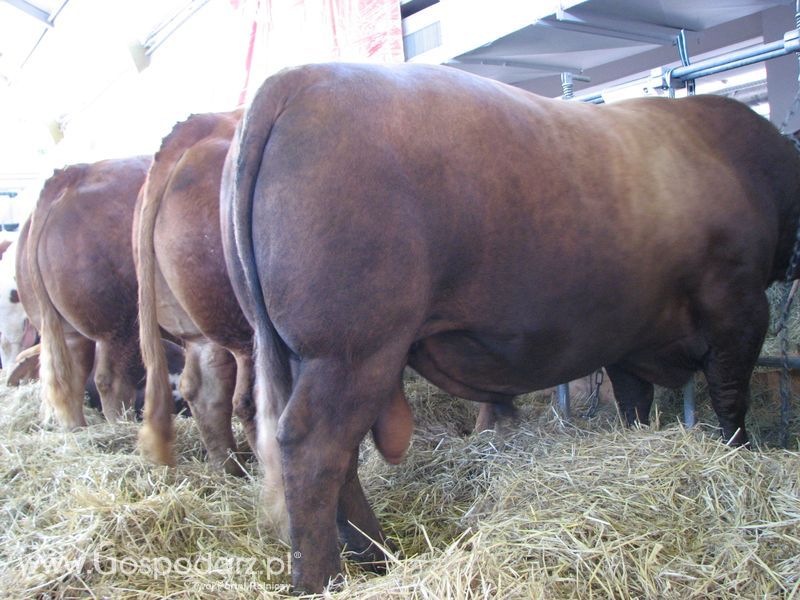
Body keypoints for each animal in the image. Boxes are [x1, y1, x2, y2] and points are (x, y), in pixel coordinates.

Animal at [16, 155, 152, 426]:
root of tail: (72, 175)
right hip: (121, 326)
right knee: (111, 381)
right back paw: (121, 427)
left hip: (66, 330)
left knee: (70, 380)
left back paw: (76, 429)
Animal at [217, 62, 800, 592]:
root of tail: (297, 78)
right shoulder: (738, 306)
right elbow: (731, 400)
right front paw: (740, 456)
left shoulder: (629, 333)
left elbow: (635, 403)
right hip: (352, 350)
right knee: (313, 448)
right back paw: (324, 578)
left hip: (309, 356)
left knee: (341, 461)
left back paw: (377, 557)